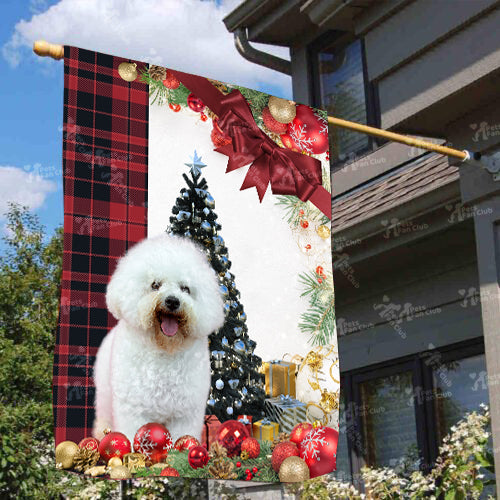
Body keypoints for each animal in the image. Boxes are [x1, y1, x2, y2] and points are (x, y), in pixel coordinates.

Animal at [93, 232, 225, 444]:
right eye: (155, 285)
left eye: (185, 288)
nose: (172, 301)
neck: (164, 348)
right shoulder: (133, 409)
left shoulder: (184, 414)